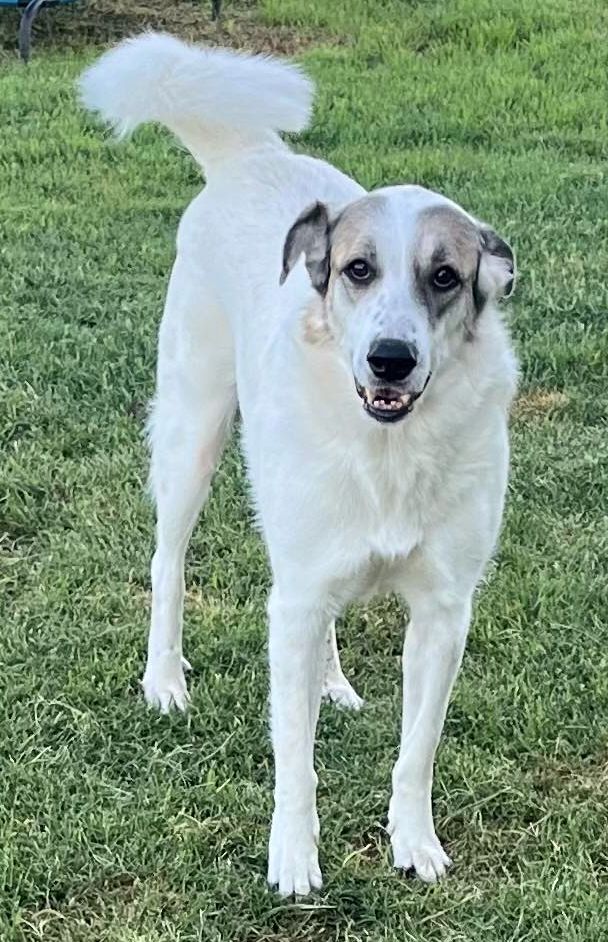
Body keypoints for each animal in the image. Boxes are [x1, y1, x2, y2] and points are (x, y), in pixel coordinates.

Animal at [81, 33, 516, 896]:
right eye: (358, 269)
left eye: (444, 277)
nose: (391, 359)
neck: (388, 450)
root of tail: (251, 157)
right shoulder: (295, 601)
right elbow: (295, 757)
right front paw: (292, 857)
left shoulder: (443, 613)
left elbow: (417, 752)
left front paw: (414, 843)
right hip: (194, 433)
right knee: (168, 562)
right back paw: (165, 681)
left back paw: (333, 683)